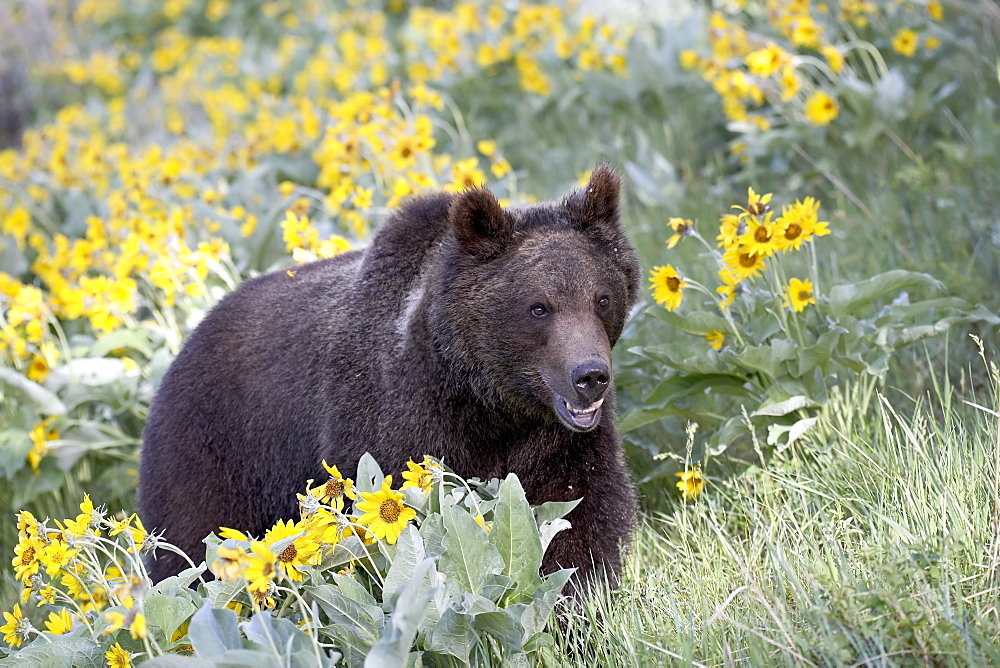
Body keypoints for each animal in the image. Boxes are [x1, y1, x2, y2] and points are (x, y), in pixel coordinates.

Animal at [137, 164, 640, 592]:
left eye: (601, 297)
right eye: (538, 307)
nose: (589, 376)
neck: (490, 403)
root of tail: (192, 335)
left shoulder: (558, 442)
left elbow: (580, 515)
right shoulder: (401, 421)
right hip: (217, 448)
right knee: (188, 545)